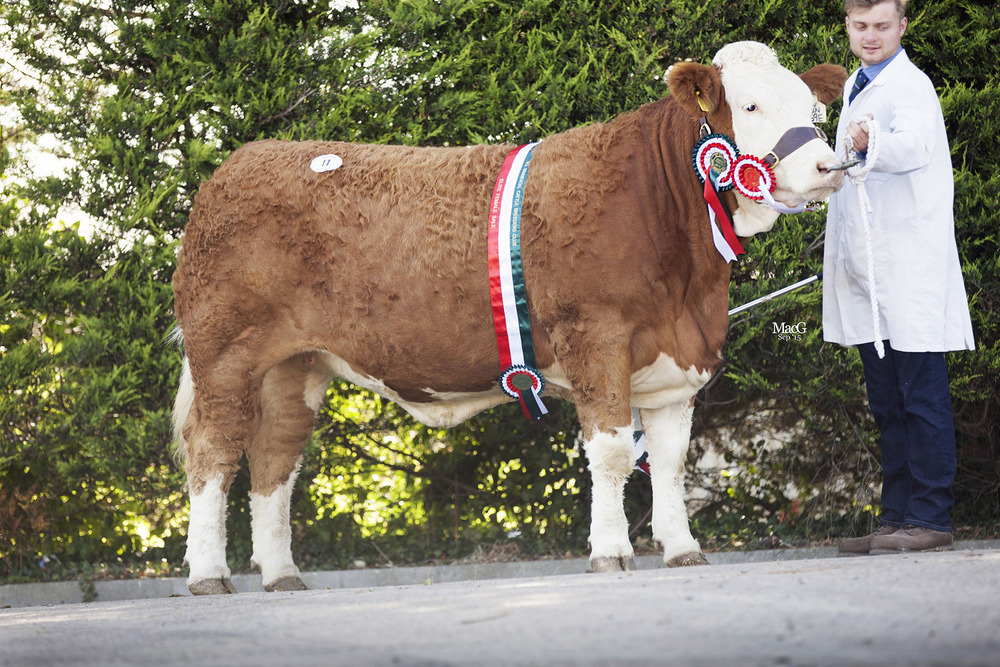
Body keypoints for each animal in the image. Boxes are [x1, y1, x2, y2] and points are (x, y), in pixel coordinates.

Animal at [170, 41, 844, 596]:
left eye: (813, 109)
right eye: (751, 105)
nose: (828, 166)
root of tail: (240, 163)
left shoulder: (678, 362)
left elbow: (673, 460)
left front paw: (682, 551)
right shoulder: (595, 335)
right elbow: (612, 454)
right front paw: (610, 552)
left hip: (295, 366)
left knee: (274, 461)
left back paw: (281, 573)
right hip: (226, 354)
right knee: (213, 453)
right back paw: (208, 575)